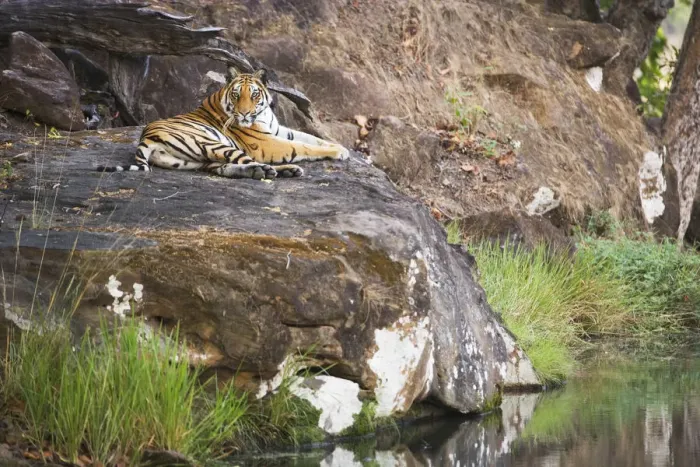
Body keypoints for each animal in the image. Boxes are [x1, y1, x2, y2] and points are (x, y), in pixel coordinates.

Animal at [96, 67, 350, 179]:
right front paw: (339, 153)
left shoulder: (278, 130)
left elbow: (311, 137)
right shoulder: (264, 143)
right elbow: (302, 146)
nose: (245, 114)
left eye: (254, 94)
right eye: (237, 95)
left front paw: (340, 147)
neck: (263, 114)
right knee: (244, 163)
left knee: (224, 168)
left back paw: (270, 171)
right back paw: (274, 170)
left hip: (197, 160)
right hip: (213, 144)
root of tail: (145, 137)